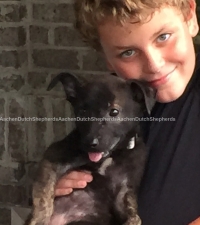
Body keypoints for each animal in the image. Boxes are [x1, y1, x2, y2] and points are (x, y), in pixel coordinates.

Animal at [26, 73, 155, 225]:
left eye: (114, 112)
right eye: (82, 111)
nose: (90, 143)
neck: (111, 155)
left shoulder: (124, 191)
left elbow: (134, 215)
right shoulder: (52, 158)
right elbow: (43, 195)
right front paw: (40, 219)